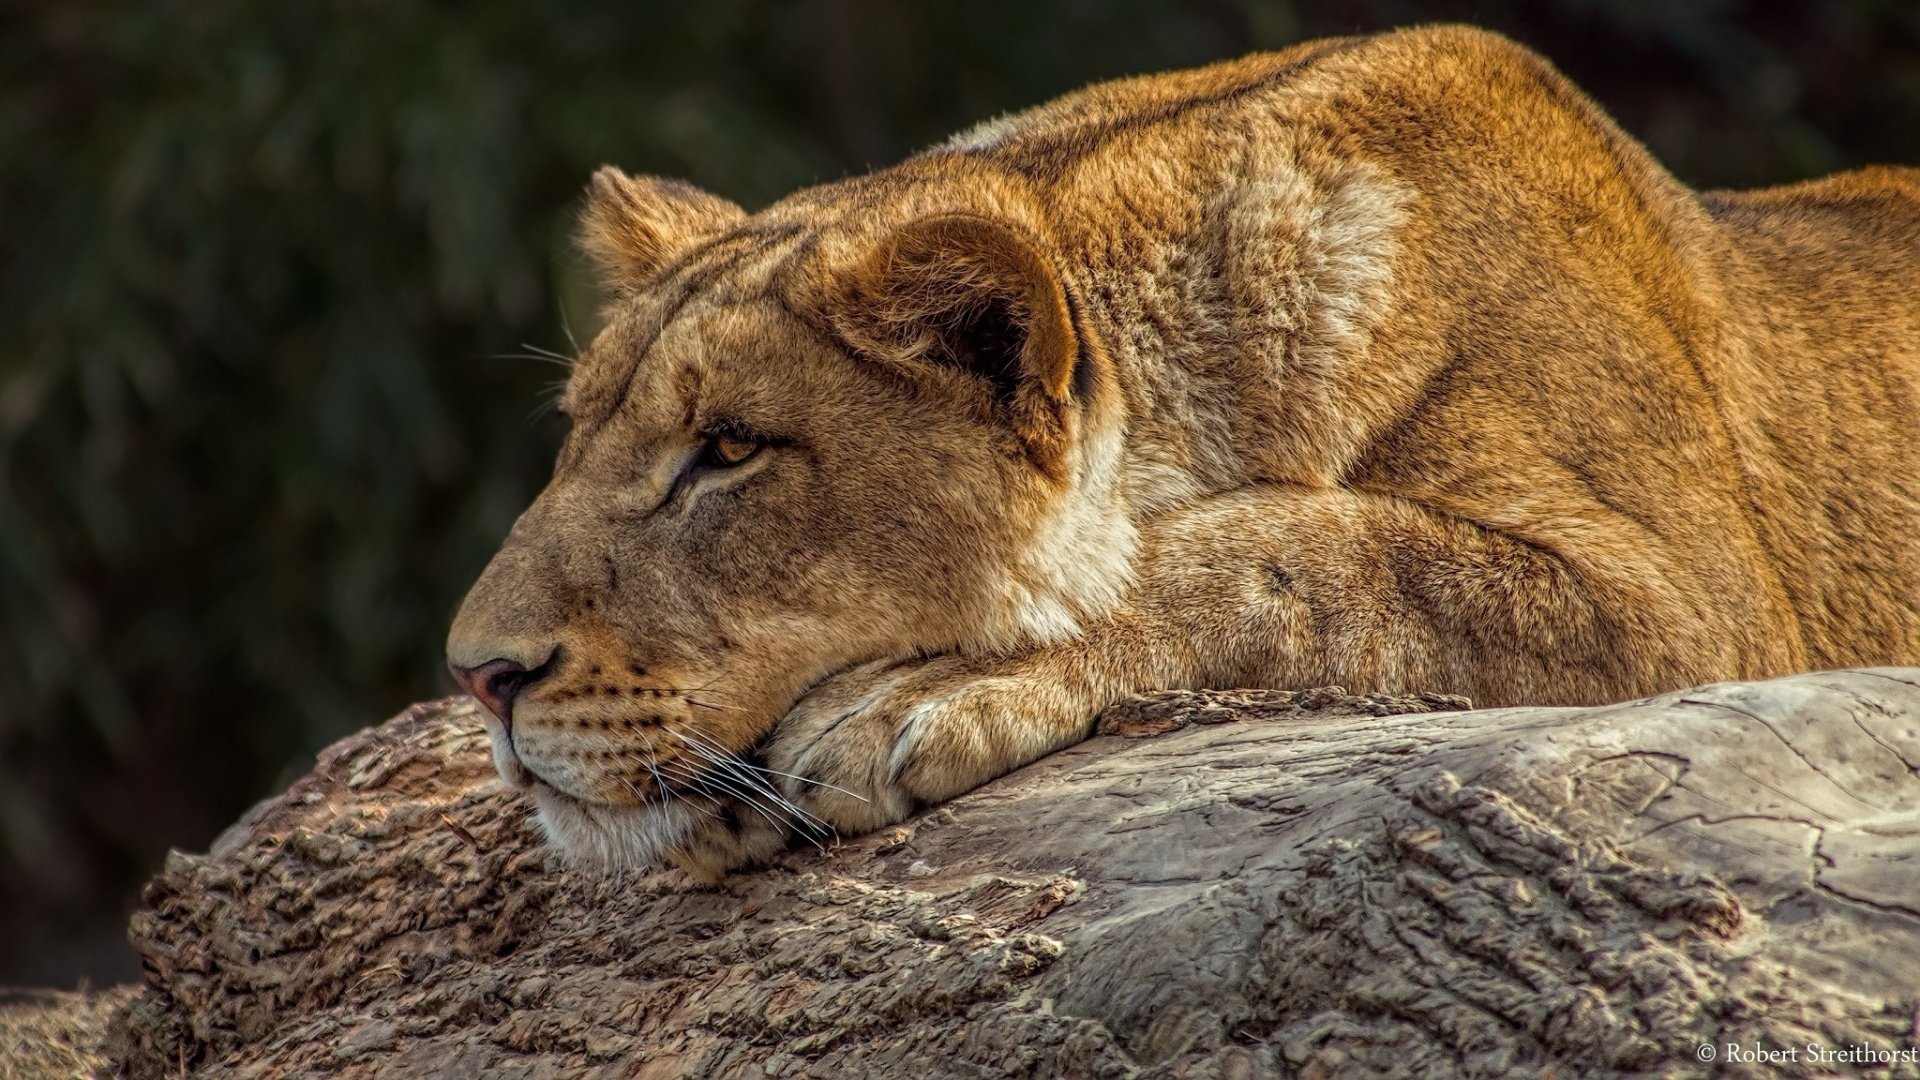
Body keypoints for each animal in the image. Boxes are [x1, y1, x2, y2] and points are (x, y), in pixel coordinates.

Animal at [447, 24, 1920, 878]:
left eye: (730, 451)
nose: (477, 678)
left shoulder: (1701, 612)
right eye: (577, 438)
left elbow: (1302, 546)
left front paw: (917, 694)